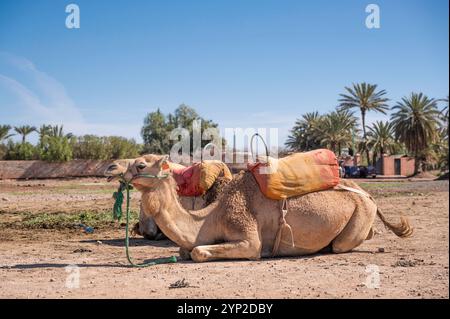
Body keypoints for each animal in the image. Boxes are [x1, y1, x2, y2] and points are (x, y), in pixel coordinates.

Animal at [122, 155, 412, 262]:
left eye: (140, 164)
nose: (118, 171)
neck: (210, 217)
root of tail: (369, 195)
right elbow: (186, 250)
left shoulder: (248, 237)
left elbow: (198, 252)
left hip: (360, 213)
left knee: (342, 244)